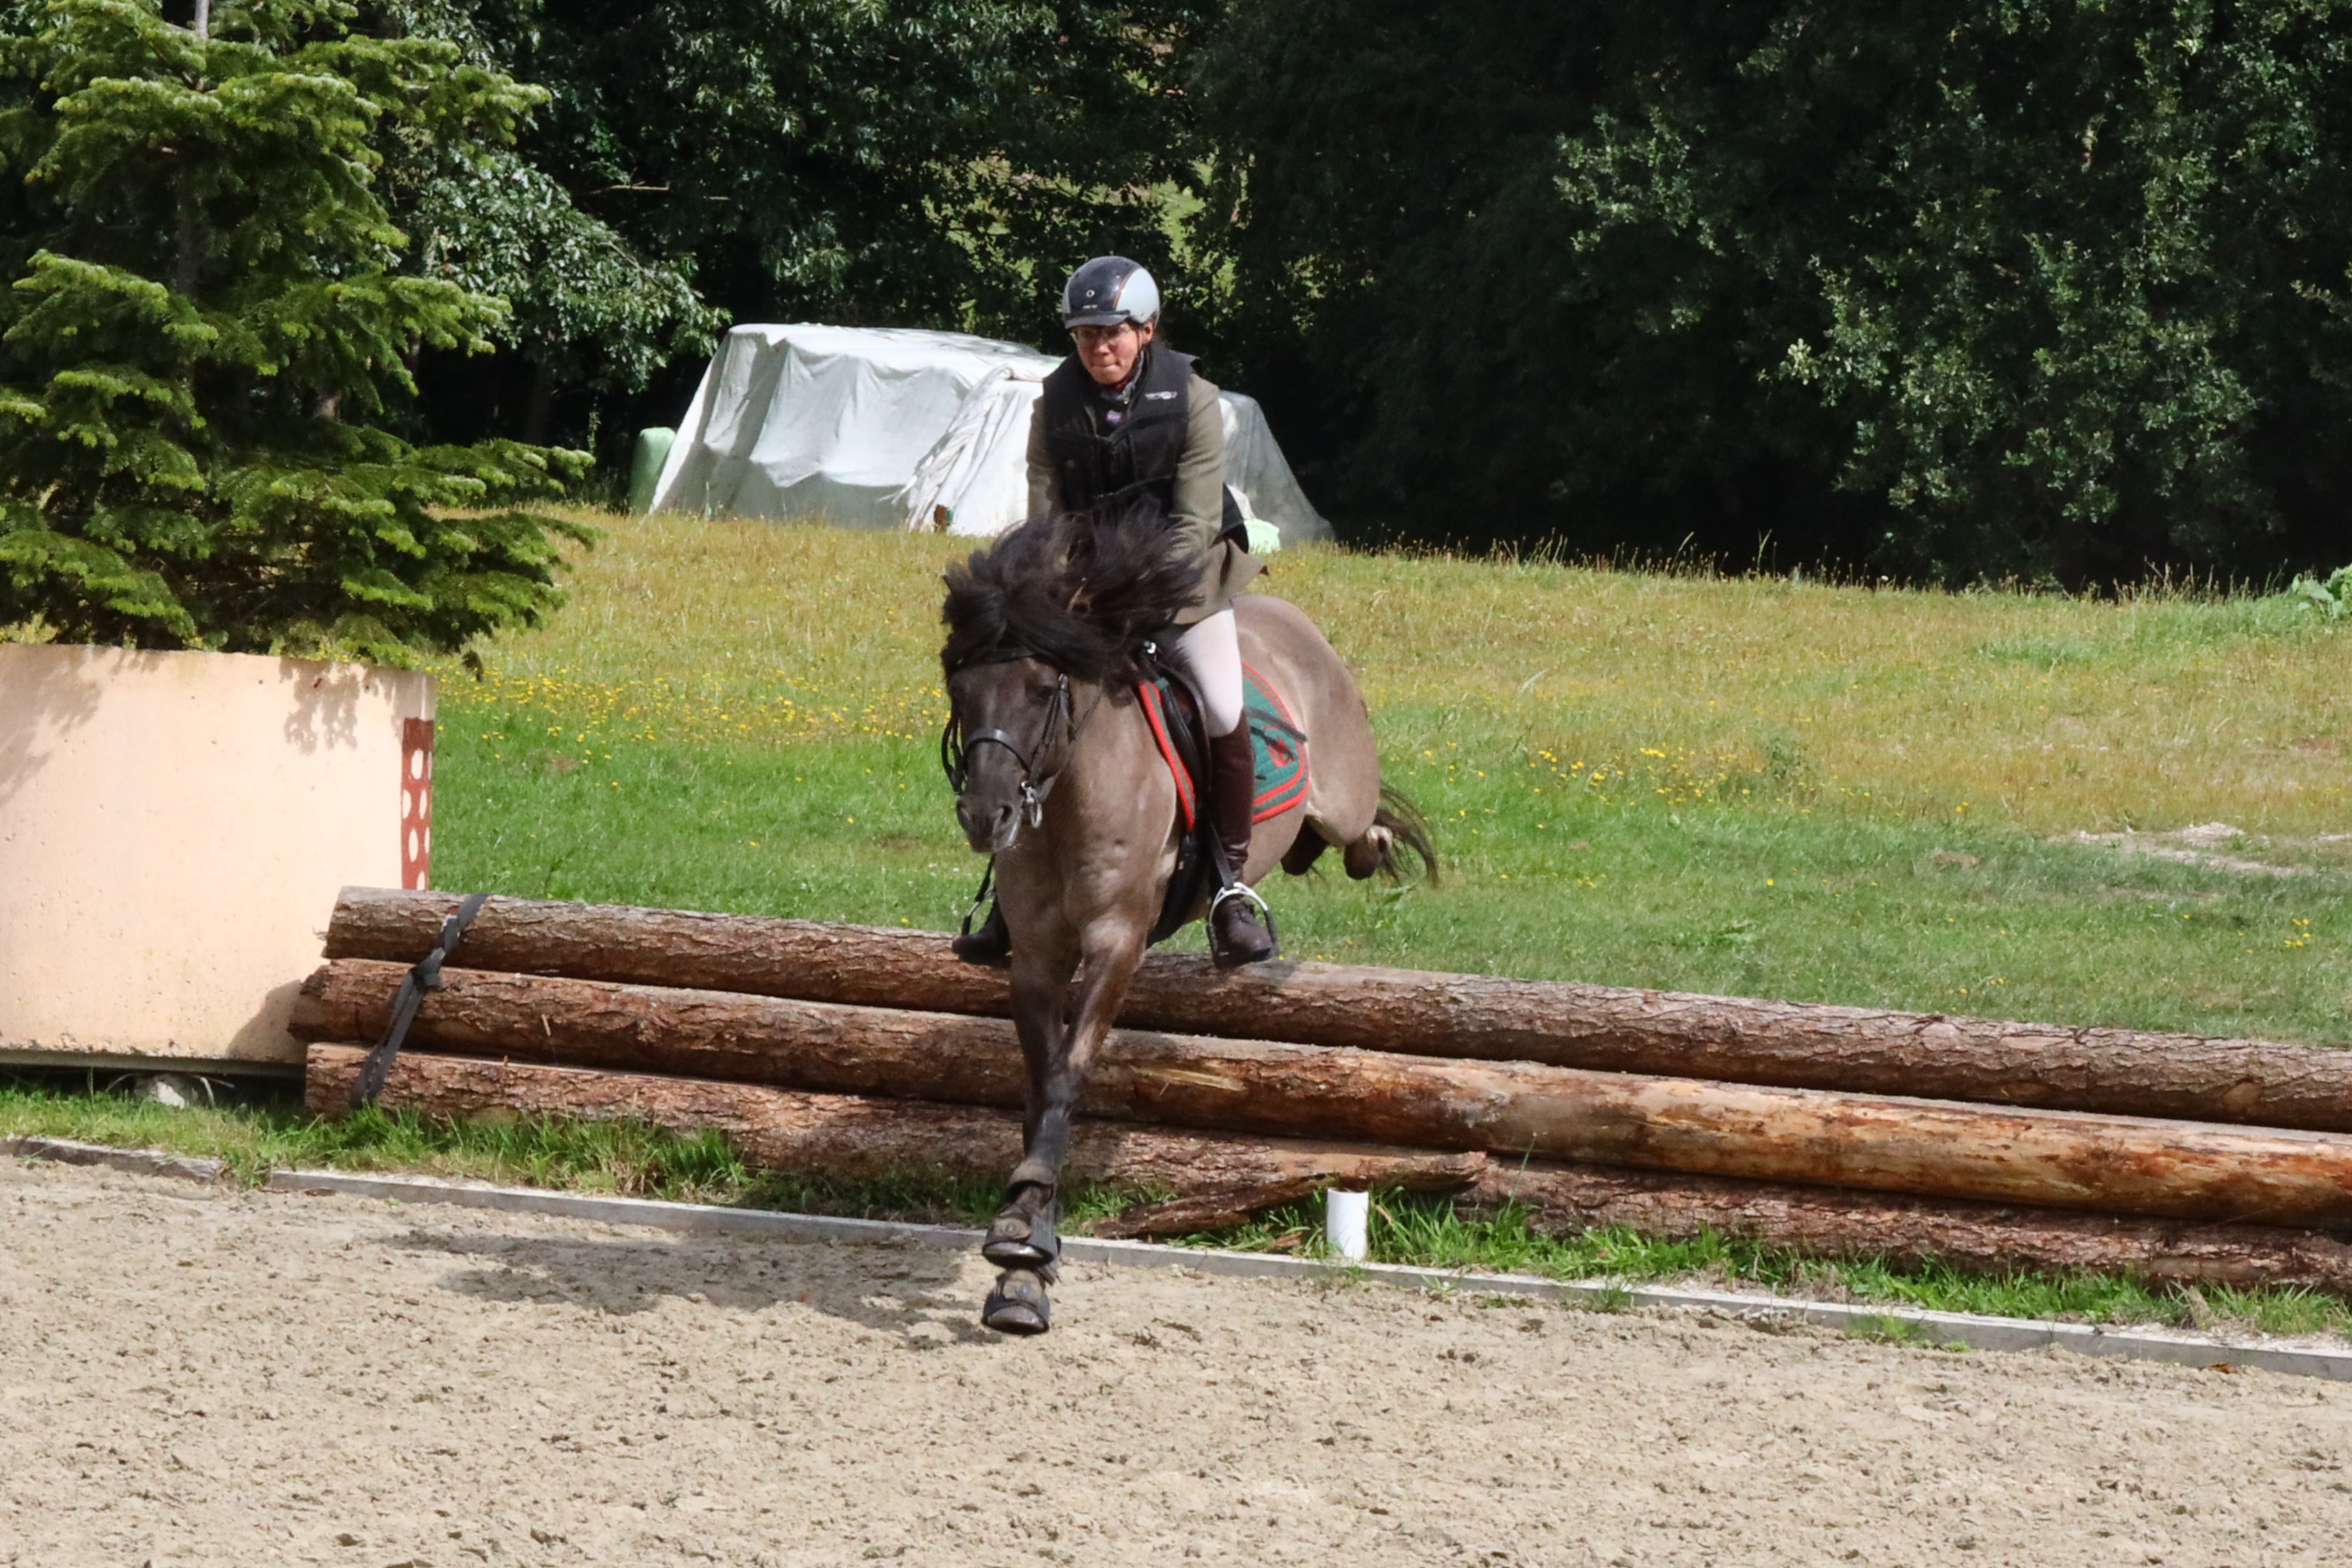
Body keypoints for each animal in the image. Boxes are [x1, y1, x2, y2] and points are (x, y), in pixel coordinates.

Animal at [939, 508, 1435, 1335]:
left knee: (1360, 833)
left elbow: (1069, 1075)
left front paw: (1024, 1239)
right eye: (960, 685)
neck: (1068, 796)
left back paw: (1338, 863)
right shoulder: (1037, 955)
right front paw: (1025, 1251)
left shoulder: (1117, 941)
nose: (985, 816)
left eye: (1041, 689)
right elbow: (1040, 1086)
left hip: (1342, 792)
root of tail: (1289, 619)